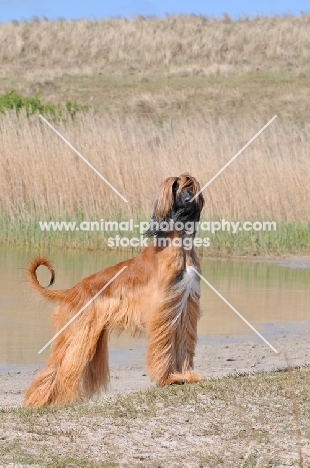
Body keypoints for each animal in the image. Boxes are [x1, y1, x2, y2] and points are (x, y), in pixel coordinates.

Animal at [25, 174, 205, 408]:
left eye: (192, 187)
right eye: (180, 188)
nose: (189, 201)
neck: (180, 245)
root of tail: (72, 291)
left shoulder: (185, 306)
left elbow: (184, 341)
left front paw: (186, 375)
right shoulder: (164, 309)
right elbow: (163, 345)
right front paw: (168, 378)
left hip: (91, 336)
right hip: (77, 331)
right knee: (59, 363)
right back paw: (38, 400)